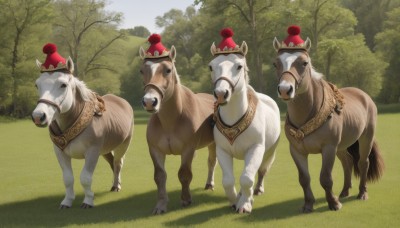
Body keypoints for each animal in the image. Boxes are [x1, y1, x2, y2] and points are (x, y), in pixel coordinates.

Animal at [32, 43, 133, 208]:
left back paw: (117, 185)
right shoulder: (60, 152)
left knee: (118, 163)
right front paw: (67, 201)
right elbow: (67, 178)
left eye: (63, 85)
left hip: (123, 143)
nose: (38, 116)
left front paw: (88, 200)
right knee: (112, 162)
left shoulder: (92, 152)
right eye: (37, 85)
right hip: (105, 148)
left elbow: (85, 178)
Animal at [139, 33, 217, 214]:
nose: (150, 101)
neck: (171, 121)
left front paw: (186, 199)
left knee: (212, 161)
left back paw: (209, 183)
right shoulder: (155, 150)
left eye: (168, 70)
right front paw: (161, 205)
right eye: (142, 71)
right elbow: (160, 176)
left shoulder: (188, 149)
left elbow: (184, 174)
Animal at [209, 29, 282, 214]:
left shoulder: (255, 148)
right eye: (211, 66)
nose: (221, 93)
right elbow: (228, 180)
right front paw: (235, 200)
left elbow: (248, 178)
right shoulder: (222, 150)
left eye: (239, 66)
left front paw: (245, 204)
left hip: (270, 151)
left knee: (262, 170)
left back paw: (258, 189)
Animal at [272, 25, 384, 212]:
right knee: (347, 162)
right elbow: (304, 178)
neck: (308, 115)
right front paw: (308, 205)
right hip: (342, 146)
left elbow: (325, 177)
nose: (285, 89)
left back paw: (362, 193)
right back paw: (345, 191)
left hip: (365, 138)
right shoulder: (296, 150)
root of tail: (364, 96)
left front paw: (333, 203)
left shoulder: (328, 148)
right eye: (276, 63)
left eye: (304, 63)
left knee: (363, 163)